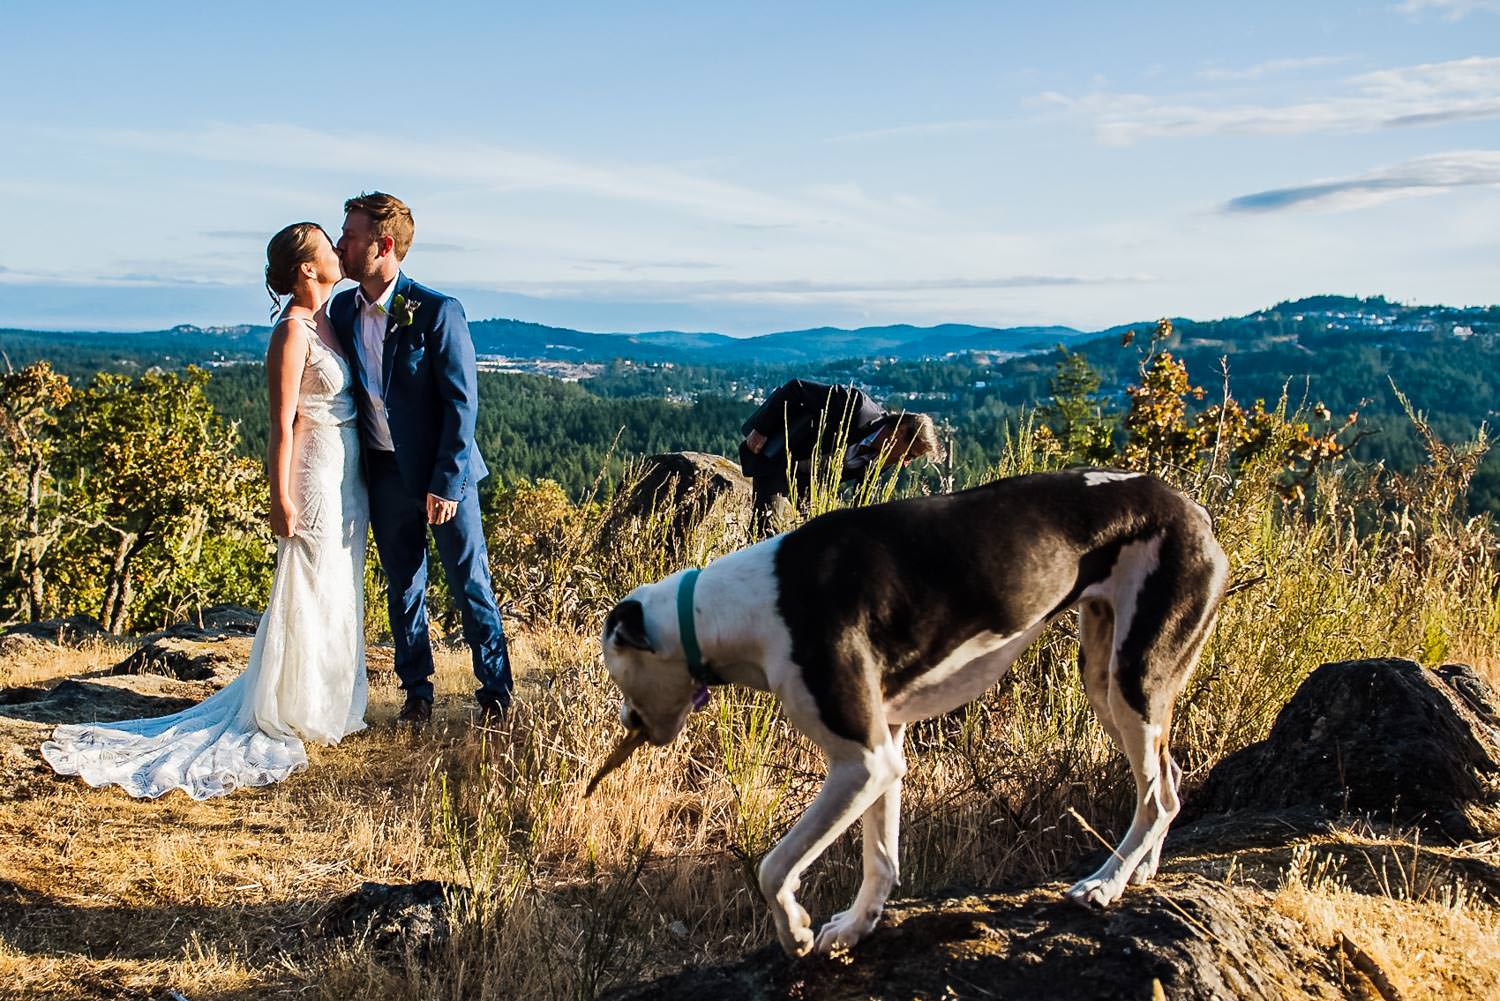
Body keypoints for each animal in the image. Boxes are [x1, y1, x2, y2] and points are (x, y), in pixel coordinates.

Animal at [603, 471, 1224, 954]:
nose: (628, 724)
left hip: (1135, 677)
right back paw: (1142, 867)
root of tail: (1193, 511)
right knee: (1167, 782)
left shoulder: (863, 761)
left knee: (1158, 796)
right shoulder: (886, 753)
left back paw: (1107, 883)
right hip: (1106, 678)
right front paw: (855, 928)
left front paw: (795, 931)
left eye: (614, 668)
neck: (740, 605)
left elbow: (773, 866)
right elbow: (881, 859)